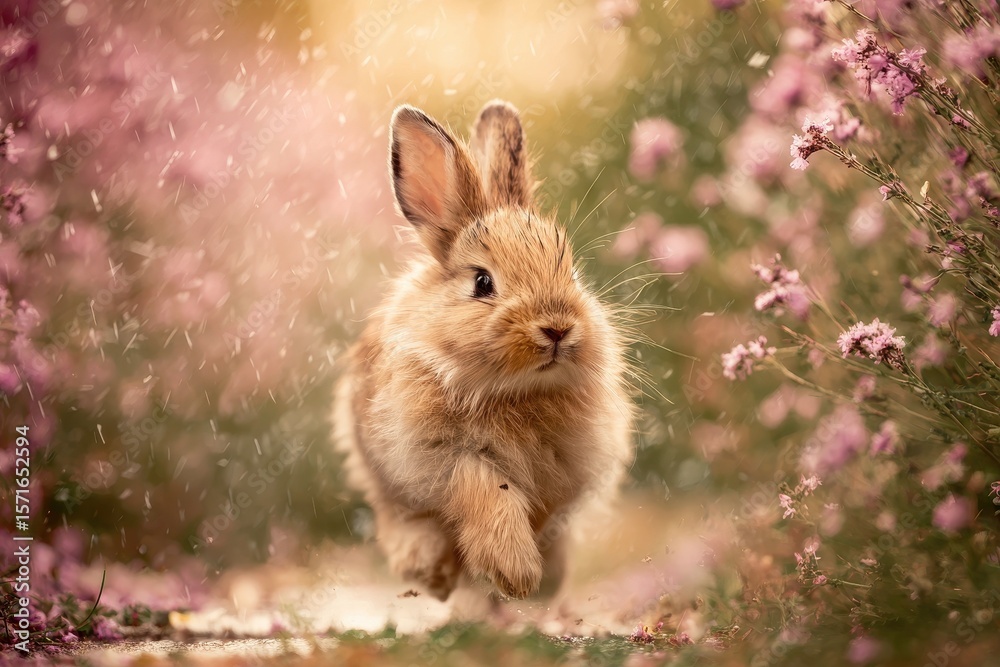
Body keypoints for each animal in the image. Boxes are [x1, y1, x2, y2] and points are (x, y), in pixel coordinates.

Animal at [332, 99, 633, 601]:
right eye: (482, 283)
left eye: (572, 274)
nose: (557, 328)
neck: (513, 391)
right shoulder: (447, 457)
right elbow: (488, 492)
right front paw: (515, 573)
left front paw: (533, 582)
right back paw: (432, 575)